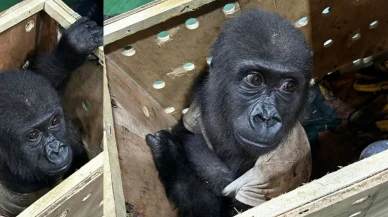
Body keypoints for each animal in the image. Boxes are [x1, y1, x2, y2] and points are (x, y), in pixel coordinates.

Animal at [147, 8, 314, 217]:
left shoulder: (279, 165)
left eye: (289, 86)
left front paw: (172, 160)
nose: (267, 117)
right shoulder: (197, 107)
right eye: (254, 79)